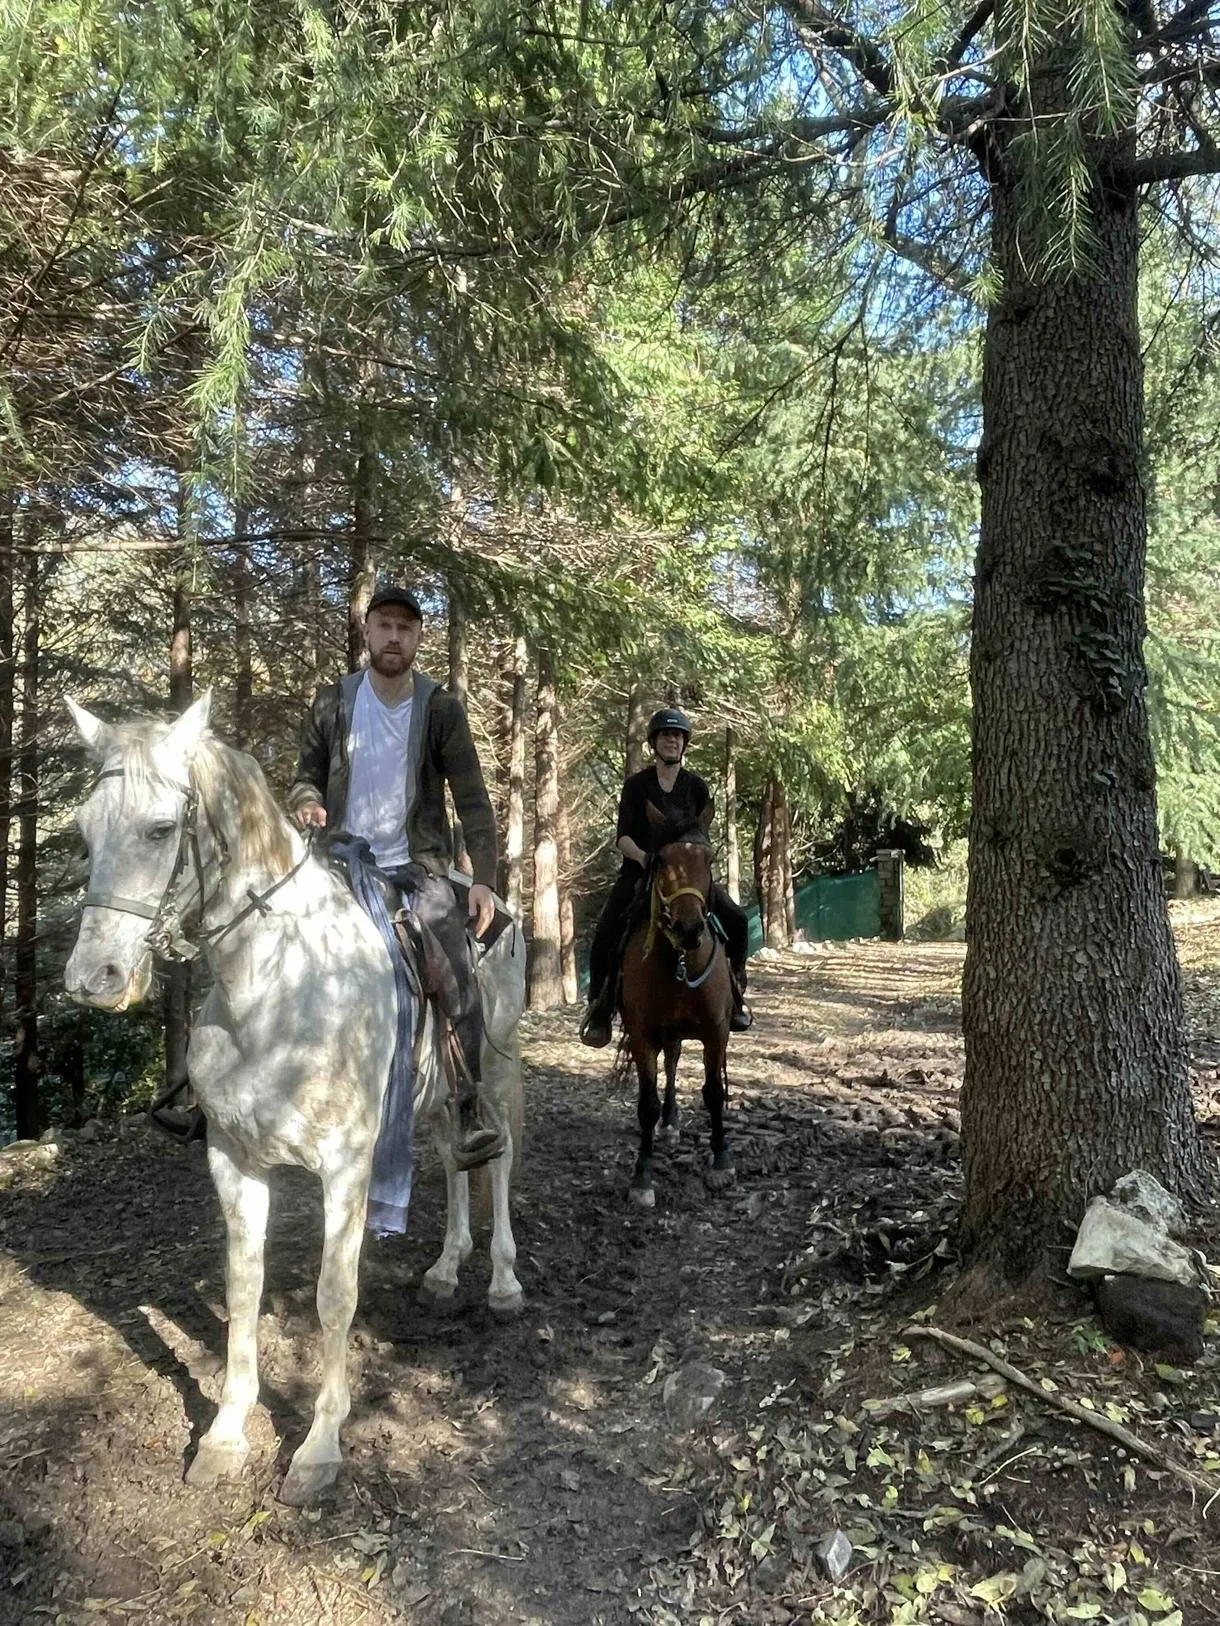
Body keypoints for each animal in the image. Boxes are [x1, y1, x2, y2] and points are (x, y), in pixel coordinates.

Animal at [63, 693, 525, 1506]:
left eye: (159, 829)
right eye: (86, 830)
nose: (93, 978)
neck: (274, 985)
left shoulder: (346, 1167)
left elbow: (333, 1295)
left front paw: (318, 1446)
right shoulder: (233, 1158)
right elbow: (242, 1286)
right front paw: (225, 1433)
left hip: (493, 1077)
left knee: (496, 1160)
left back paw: (501, 1279)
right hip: (437, 1099)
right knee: (451, 1156)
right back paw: (446, 1268)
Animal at [617, 802, 736, 1208]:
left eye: (708, 858)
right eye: (662, 860)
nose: (689, 929)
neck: (680, 963)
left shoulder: (716, 1032)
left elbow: (713, 1093)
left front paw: (721, 1161)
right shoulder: (641, 1036)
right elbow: (647, 1104)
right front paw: (641, 1177)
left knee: (673, 1060)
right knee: (669, 1063)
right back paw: (667, 1124)